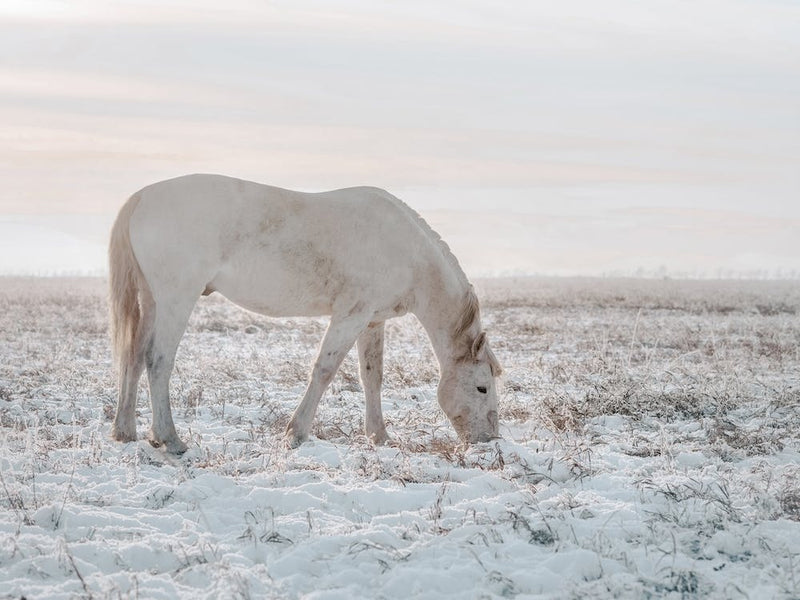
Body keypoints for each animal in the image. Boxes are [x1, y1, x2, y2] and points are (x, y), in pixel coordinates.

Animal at [108, 174, 502, 454]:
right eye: (481, 387)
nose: (489, 441)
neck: (407, 251)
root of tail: (142, 197)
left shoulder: (372, 321)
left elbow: (372, 377)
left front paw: (379, 437)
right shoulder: (350, 316)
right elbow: (324, 371)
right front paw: (296, 434)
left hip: (152, 301)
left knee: (133, 357)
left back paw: (125, 431)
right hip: (176, 299)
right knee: (158, 361)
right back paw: (170, 439)